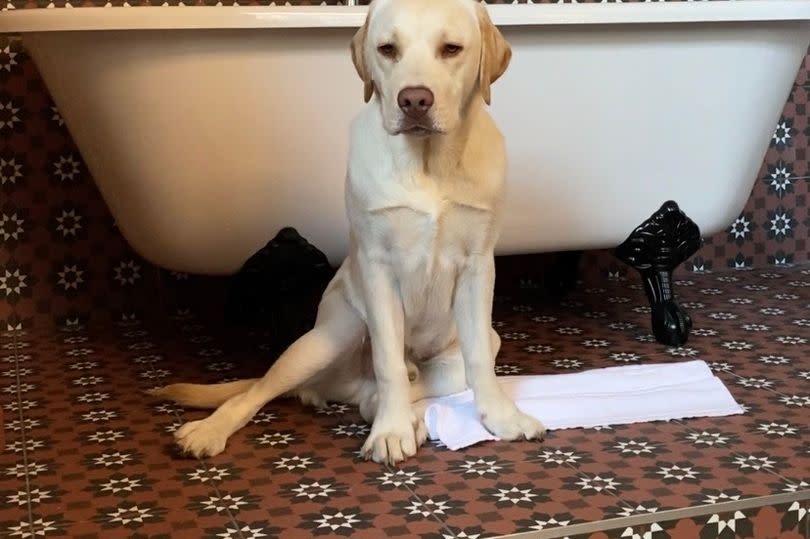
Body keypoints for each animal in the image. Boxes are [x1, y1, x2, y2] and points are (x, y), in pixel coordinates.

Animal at [148, 0, 548, 466]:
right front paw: (391, 433)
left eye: (451, 49)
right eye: (388, 49)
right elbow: (388, 362)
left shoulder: (477, 267)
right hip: (327, 337)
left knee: (393, 388)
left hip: (465, 352)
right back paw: (209, 430)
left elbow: (480, 362)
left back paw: (405, 412)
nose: (414, 100)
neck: (427, 164)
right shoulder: (378, 267)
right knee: (260, 390)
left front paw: (501, 417)